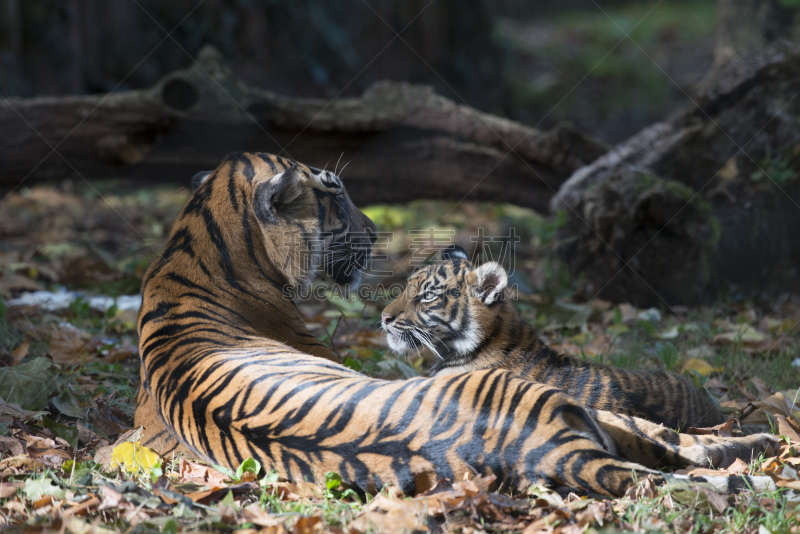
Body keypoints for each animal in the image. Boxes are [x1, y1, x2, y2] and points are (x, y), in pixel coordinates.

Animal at [138, 154, 776, 498]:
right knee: (680, 448)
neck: (192, 246)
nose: (376, 231)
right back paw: (756, 456)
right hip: (581, 413)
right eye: (336, 195)